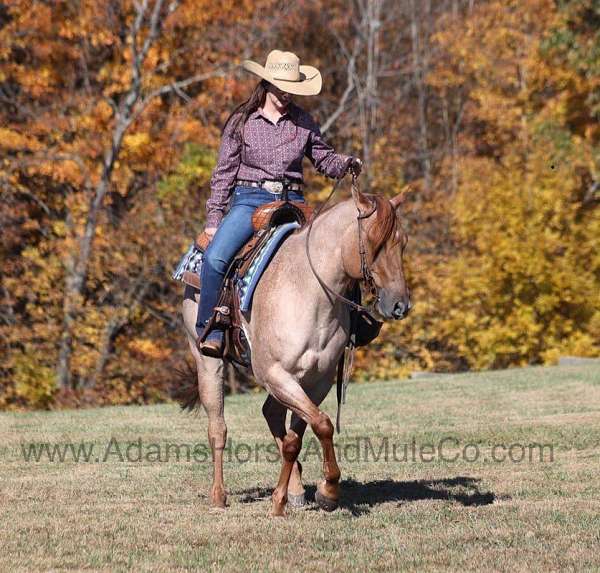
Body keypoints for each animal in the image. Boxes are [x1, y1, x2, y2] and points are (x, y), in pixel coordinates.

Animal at [176, 181, 410, 516]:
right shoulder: (275, 374)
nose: (400, 305)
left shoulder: (317, 380)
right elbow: (321, 424)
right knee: (217, 428)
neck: (308, 291)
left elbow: (298, 436)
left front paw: (306, 494)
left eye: (402, 244)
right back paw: (219, 495)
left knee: (272, 414)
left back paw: (295, 490)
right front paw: (322, 491)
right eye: (373, 243)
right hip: (207, 362)